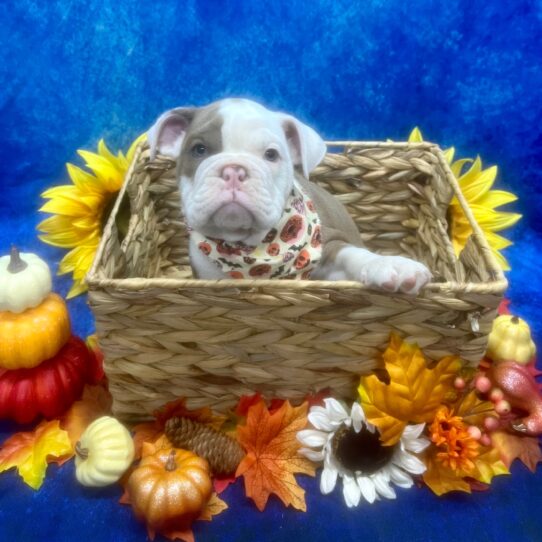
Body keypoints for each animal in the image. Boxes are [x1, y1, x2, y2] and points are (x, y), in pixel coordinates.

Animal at [148, 98, 434, 294]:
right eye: (199, 149)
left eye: (271, 155)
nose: (234, 170)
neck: (252, 250)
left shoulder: (327, 252)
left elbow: (352, 254)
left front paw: (391, 266)